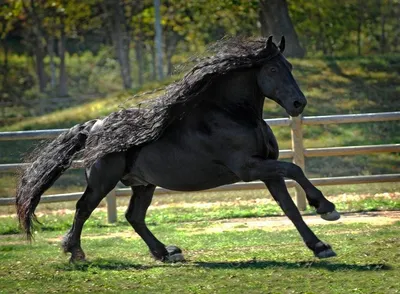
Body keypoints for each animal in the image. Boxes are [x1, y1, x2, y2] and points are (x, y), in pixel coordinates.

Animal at [17, 35, 340, 262]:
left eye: (290, 67)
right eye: (272, 68)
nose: (298, 103)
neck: (232, 114)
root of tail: (94, 126)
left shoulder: (266, 169)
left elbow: (289, 206)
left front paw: (320, 245)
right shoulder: (249, 168)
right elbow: (294, 168)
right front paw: (326, 208)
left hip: (143, 184)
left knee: (134, 216)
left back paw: (165, 253)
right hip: (102, 181)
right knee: (83, 208)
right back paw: (76, 253)